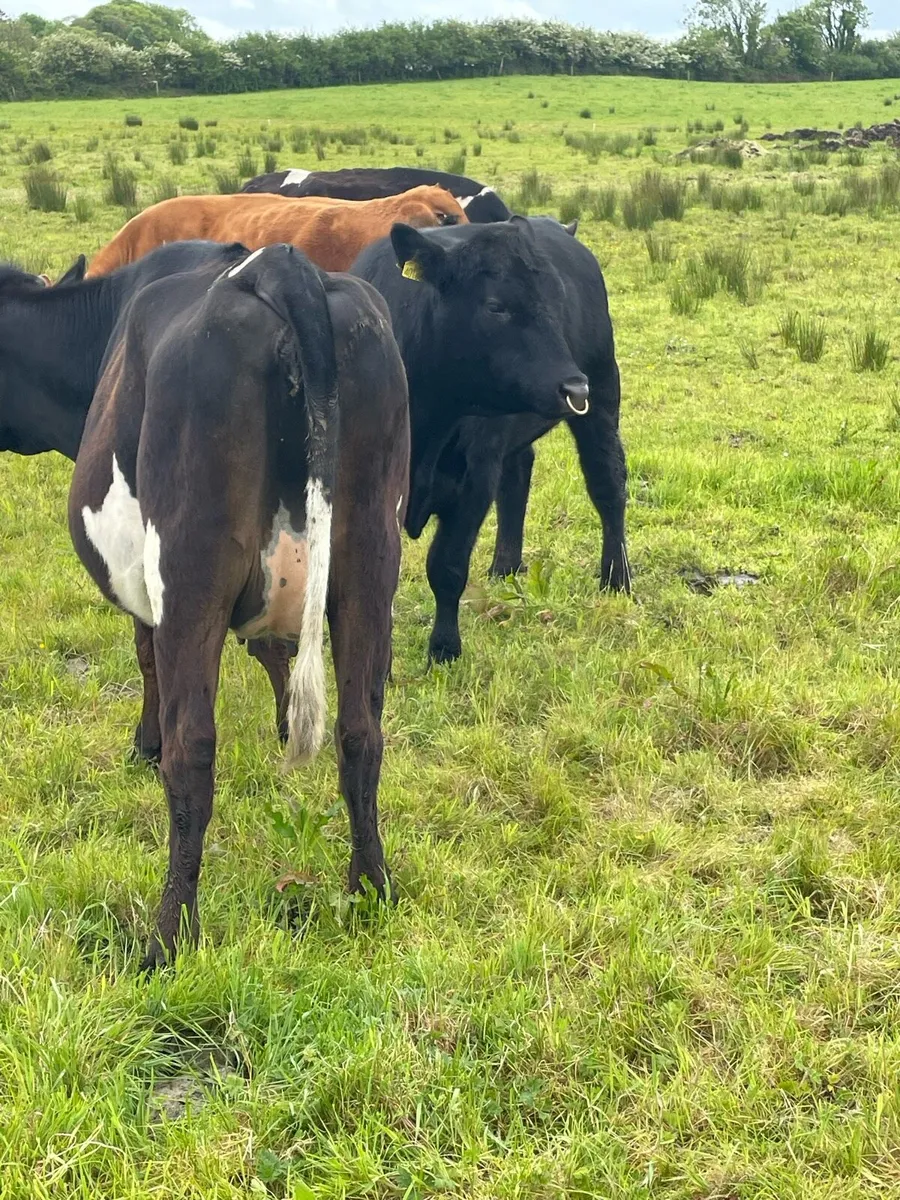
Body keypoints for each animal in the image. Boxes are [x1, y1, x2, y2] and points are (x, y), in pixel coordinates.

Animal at [67, 243, 410, 967]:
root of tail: (284, 266)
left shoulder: (151, 592)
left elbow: (146, 662)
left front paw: (142, 744)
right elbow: (277, 653)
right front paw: (282, 721)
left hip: (190, 564)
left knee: (193, 749)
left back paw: (167, 938)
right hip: (371, 555)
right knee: (361, 732)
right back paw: (371, 889)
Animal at [351, 216, 629, 664]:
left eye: (556, 300)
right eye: (496, 305)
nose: (573, 387)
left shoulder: (474, 481)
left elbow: (447, 567)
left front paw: (444, 649)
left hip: (604, 392)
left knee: (608, 484)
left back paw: (616, 577)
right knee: (518, 476)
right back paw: (505, 565)